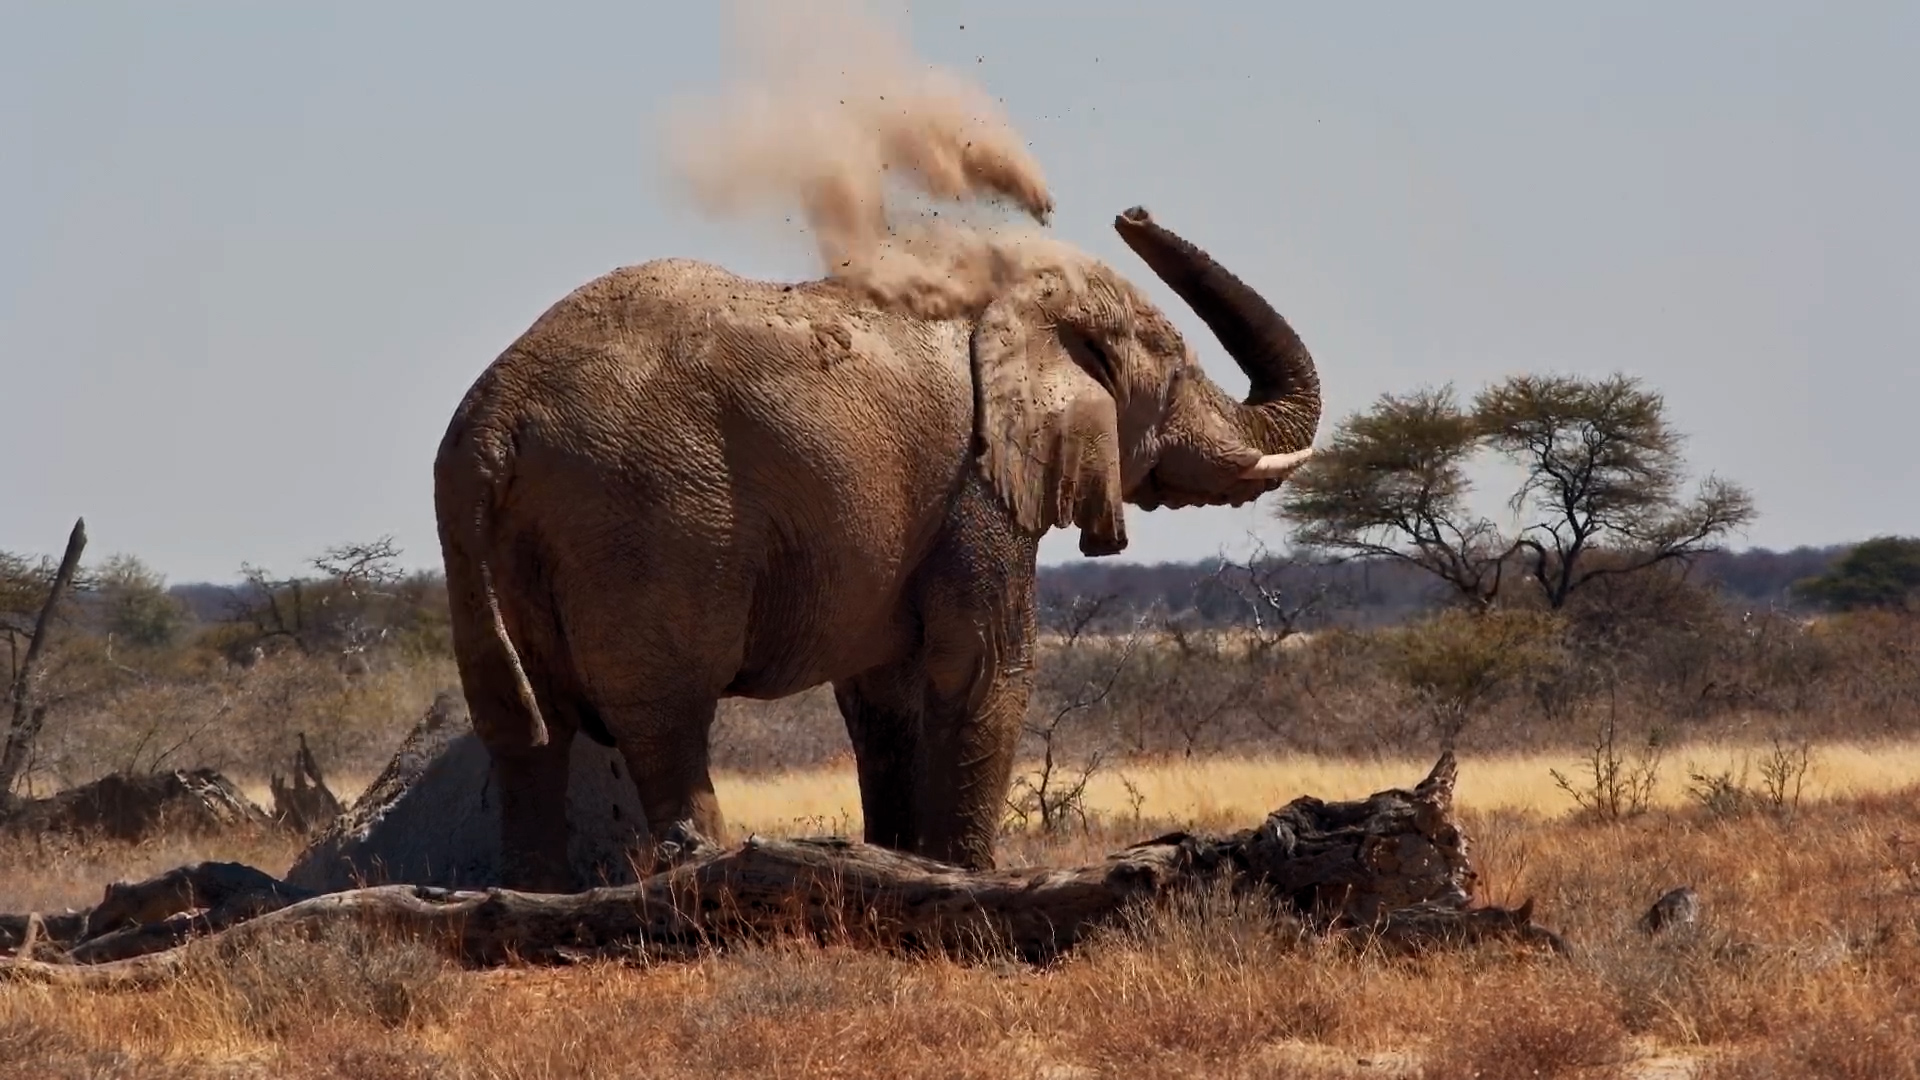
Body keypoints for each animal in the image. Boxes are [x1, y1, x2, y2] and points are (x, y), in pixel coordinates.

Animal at [432, 207, 1323, 891]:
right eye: (1174, 373)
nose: (1131, 213)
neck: (1015, 296)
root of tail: (499, 417)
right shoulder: (974, 483)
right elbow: (982, 669)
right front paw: (970, 883)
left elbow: (884, 696)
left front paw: (899, 870)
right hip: (648, 517)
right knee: (665, 723)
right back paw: (701, 874)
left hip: (474, 531)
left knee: (524, 730)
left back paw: (533, 897)